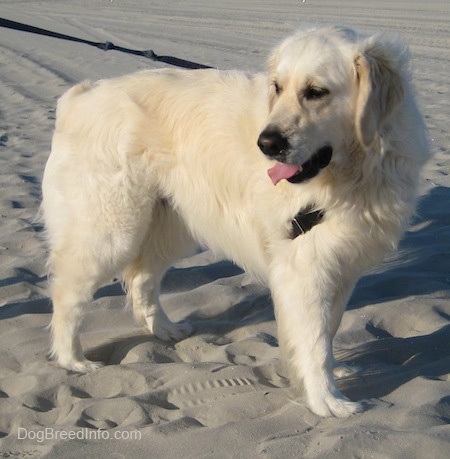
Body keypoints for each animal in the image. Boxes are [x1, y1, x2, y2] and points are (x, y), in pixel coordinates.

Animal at [42, 27, 428, 418]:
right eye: (277, 87)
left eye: (316, 92)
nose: (266, 144)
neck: (355, 171)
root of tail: (81, 96)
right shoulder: (304, 269)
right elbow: (314, 339)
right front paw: (326, 400)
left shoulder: (342, 266)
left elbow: (329, 327)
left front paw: (333, 371)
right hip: (111, 232)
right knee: (67, 294)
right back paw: (73, 360)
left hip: (171, 227)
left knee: (141, 279)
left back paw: (165, 330)